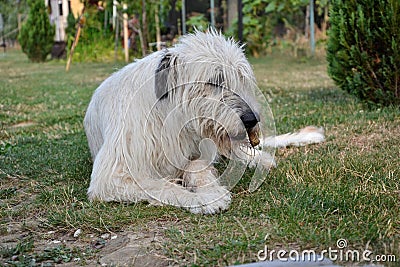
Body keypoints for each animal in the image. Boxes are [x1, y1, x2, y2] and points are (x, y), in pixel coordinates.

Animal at [84, 30, 324, 216]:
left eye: (242, 78)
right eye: (214, 81)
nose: (251, 119)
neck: (170, 117)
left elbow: (197, 165)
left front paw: (208, 190)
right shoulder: (112, 175)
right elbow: (158, 185)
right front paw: (201, 198)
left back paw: (260, 159)